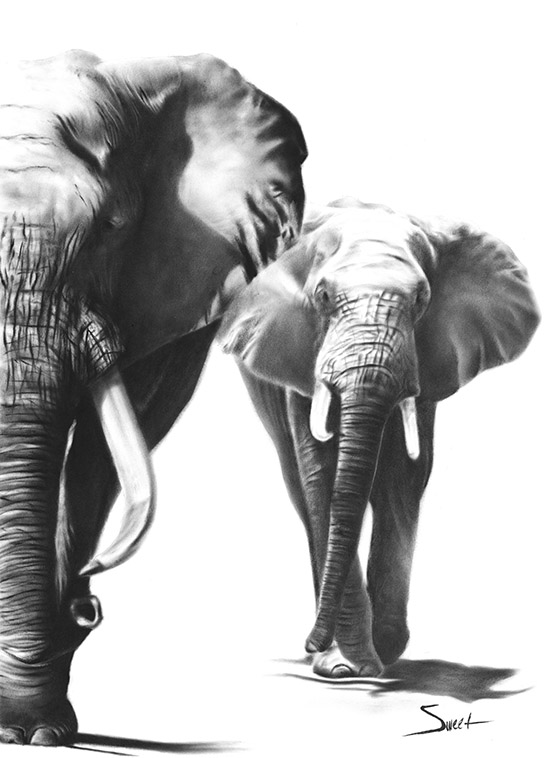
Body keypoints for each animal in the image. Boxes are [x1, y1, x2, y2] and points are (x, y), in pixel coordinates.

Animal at [219, 197, 540, 678]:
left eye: (422, 299)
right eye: (322, 297)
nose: (310, 642)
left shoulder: (426, 360)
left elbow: (403, 477)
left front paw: (379, 651)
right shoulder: (302, 357)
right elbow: (322, 476)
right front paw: (342, 665)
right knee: (300, 489)